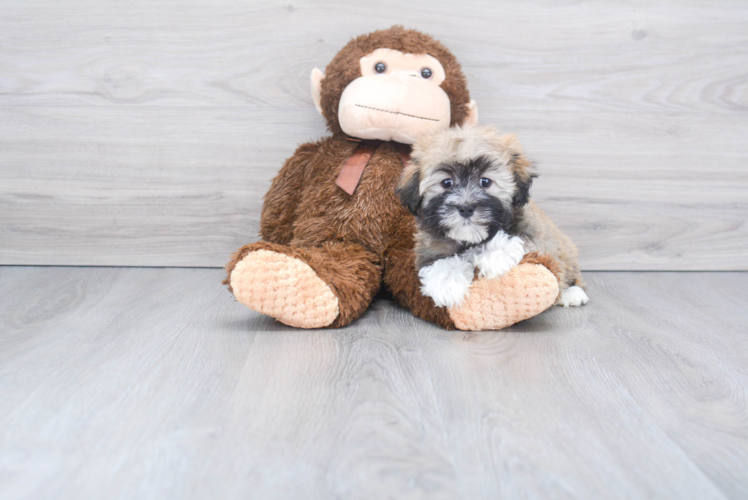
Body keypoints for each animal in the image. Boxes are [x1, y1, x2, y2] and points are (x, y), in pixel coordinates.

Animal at [398, 126, 592, 308]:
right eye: (447, 183)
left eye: (485, 182)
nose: (466, 208)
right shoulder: (431, 247)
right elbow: (440, 262)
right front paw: (447, 284)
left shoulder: (533, 233)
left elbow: (519, 240)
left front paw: (496, 256)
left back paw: (572, 293)